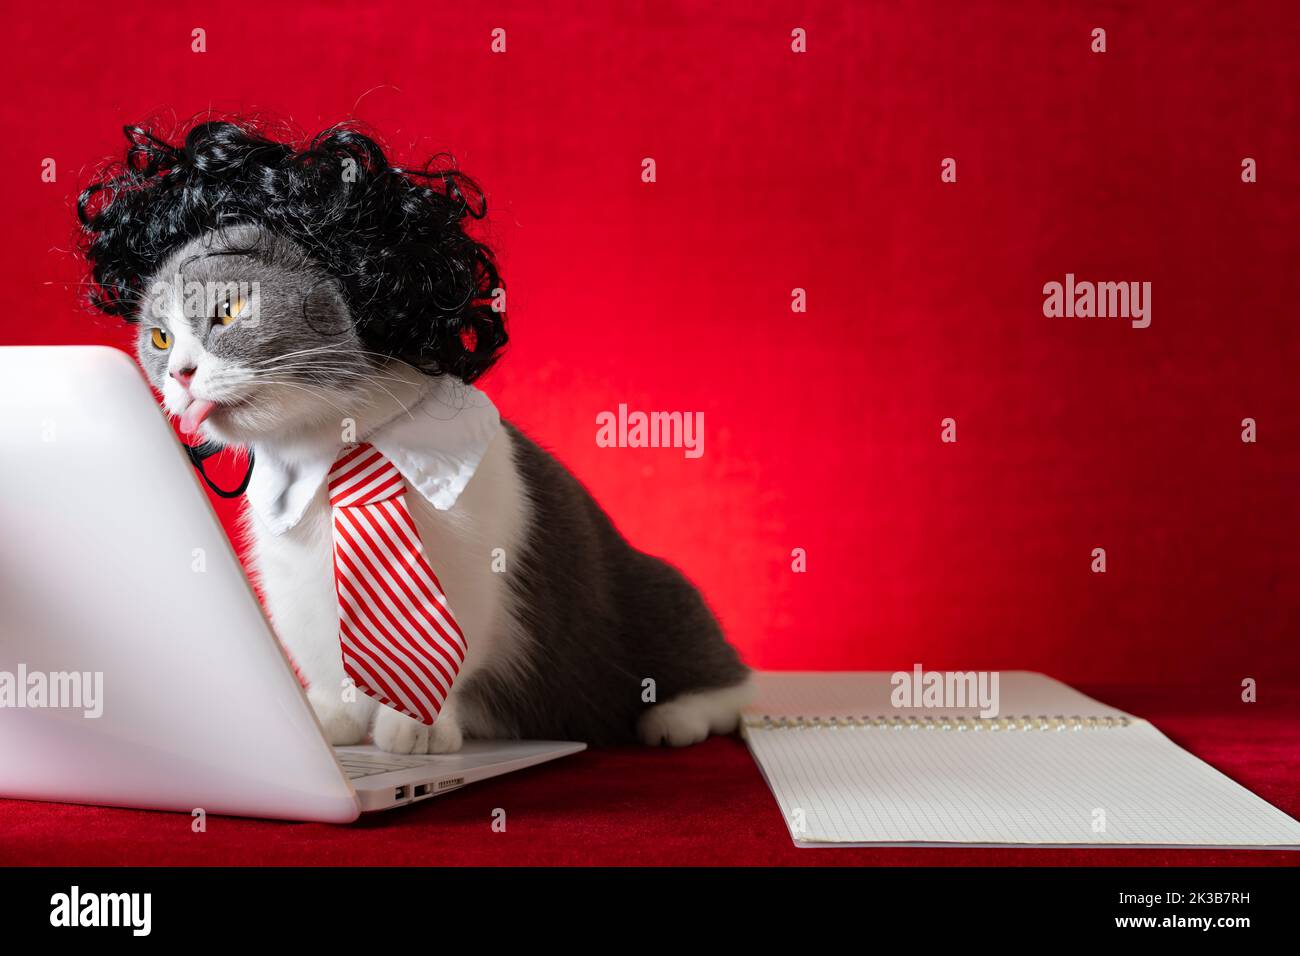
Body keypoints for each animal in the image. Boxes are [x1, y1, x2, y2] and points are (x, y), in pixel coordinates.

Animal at [131, 226, 754, 754]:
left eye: (231, 308)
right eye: (159, 338)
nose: (180, 373)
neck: (338, 447)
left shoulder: (475, 559)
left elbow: (446, 646)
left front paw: (419, 725)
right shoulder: (289, 577)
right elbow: (322, 647)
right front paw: (330, 714)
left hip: (646, 598)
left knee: (721, 672)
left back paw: (680, 715)